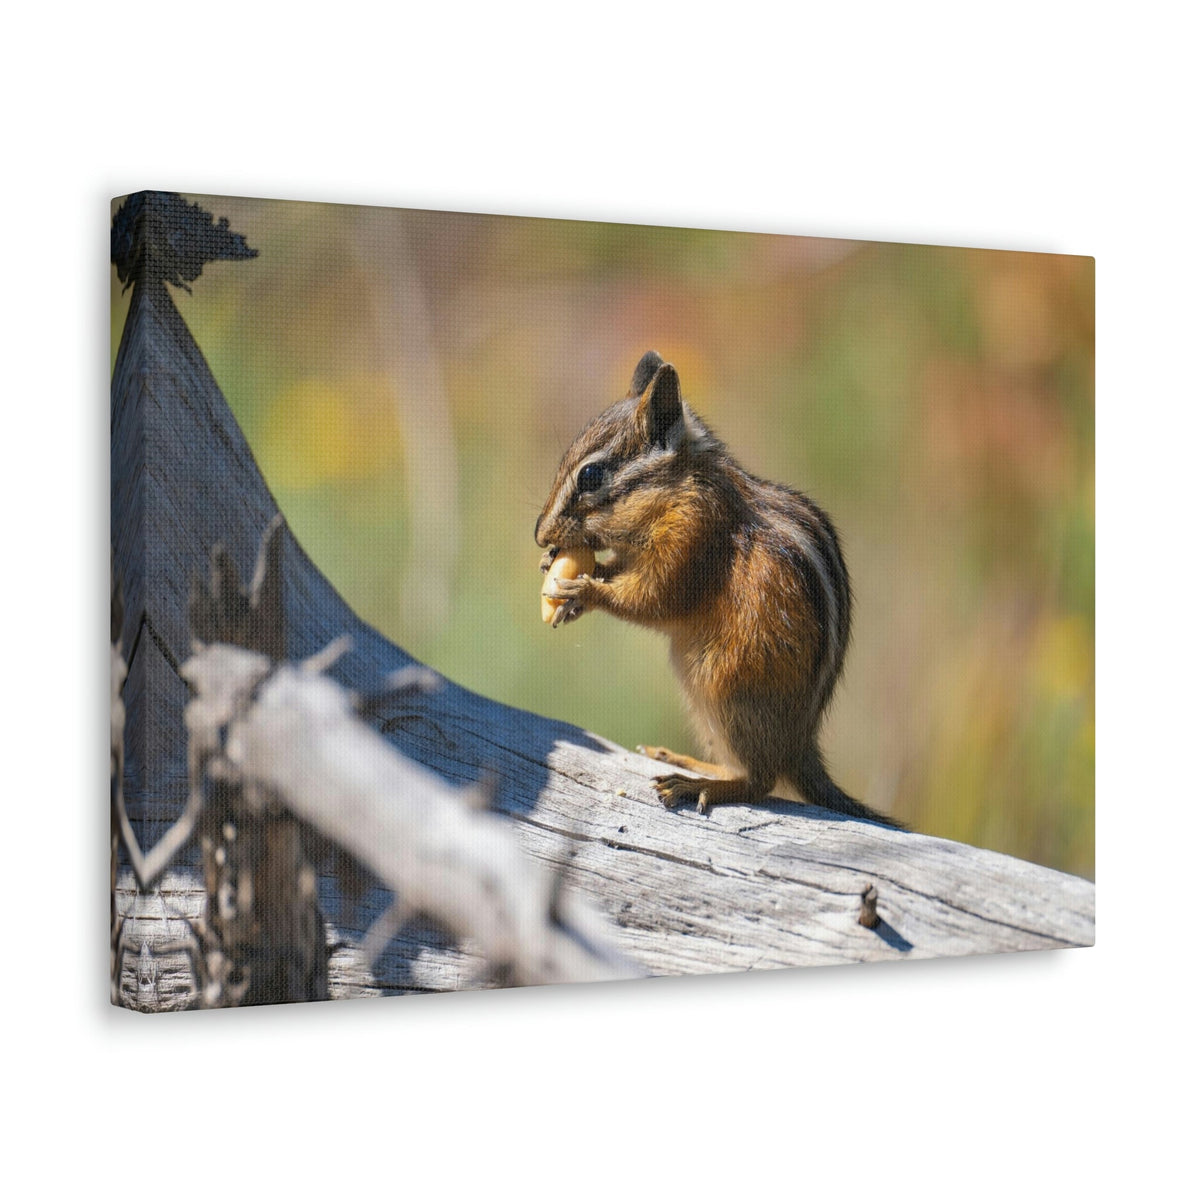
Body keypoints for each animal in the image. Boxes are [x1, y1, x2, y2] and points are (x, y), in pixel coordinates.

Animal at [535, 350, 902, 828]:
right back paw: (684, 761)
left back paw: (697, 785)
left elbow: (655, 599)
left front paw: (584, 593)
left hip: (728, 690)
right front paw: (567, 569)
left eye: (592, 476)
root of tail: (799, 744)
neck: (681, 488)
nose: (540, 535)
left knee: (760, 781)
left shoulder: (694, 537)